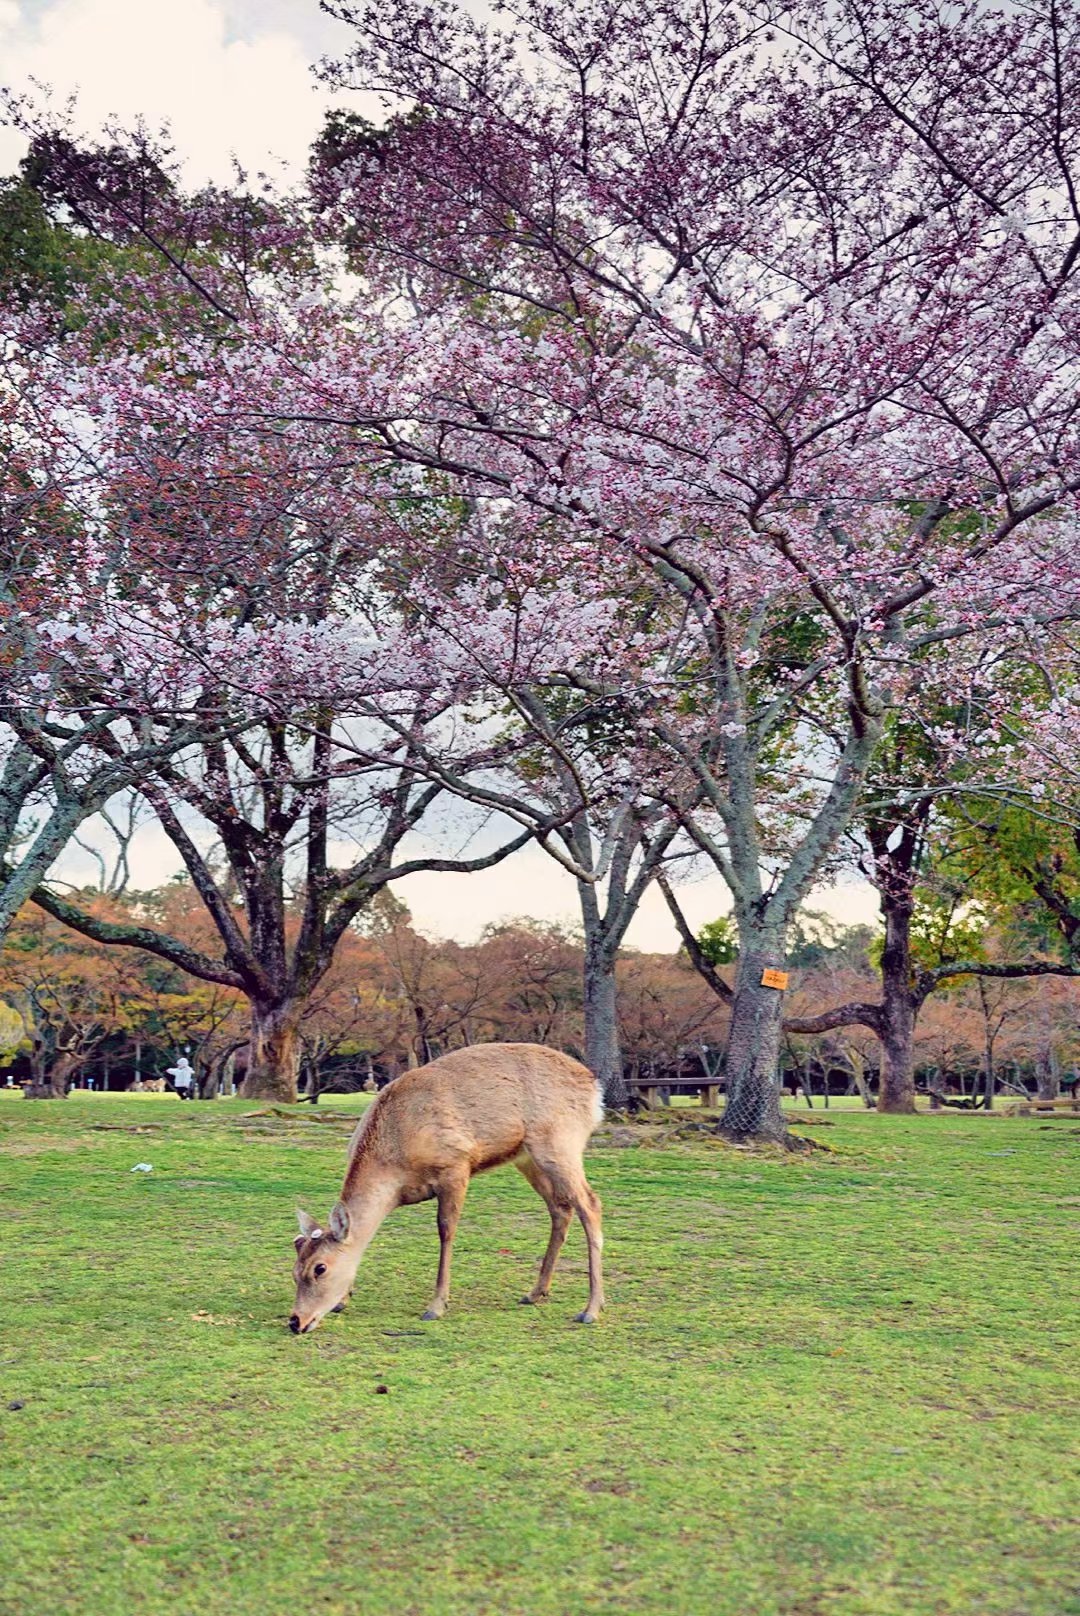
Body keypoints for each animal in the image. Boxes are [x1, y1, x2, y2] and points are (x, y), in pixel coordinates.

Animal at [291, 1040, 604, 1331]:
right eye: (294, 1269)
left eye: (320, 1268)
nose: (296, 1321)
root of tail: (594, 1088)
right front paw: (343, 1299)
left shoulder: (455, 1166)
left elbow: (446, 1231)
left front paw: (436, 1306)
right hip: (526, 1158)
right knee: (560, 1208)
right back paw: (535, 1292)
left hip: (559, 1143)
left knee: (590, 1203)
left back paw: (591, 1309)